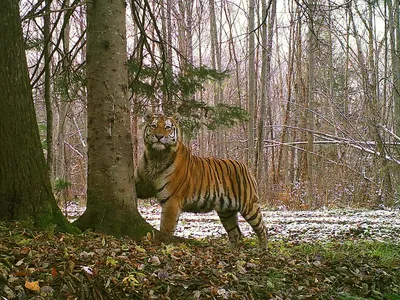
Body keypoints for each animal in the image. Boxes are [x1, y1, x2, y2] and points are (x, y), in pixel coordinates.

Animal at [135, 113, 268, 247]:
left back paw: (262, 250)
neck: (156, 157)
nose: (159, 136)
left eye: (167, 127)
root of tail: (245, 167)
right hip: (226, 211)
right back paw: (232, 250)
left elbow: (166, 229)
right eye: (153, 125)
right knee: (235, 233)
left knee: (262, 229)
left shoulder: (172, 201)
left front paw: (163, 245)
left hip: (249, 205)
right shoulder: (142, 187)